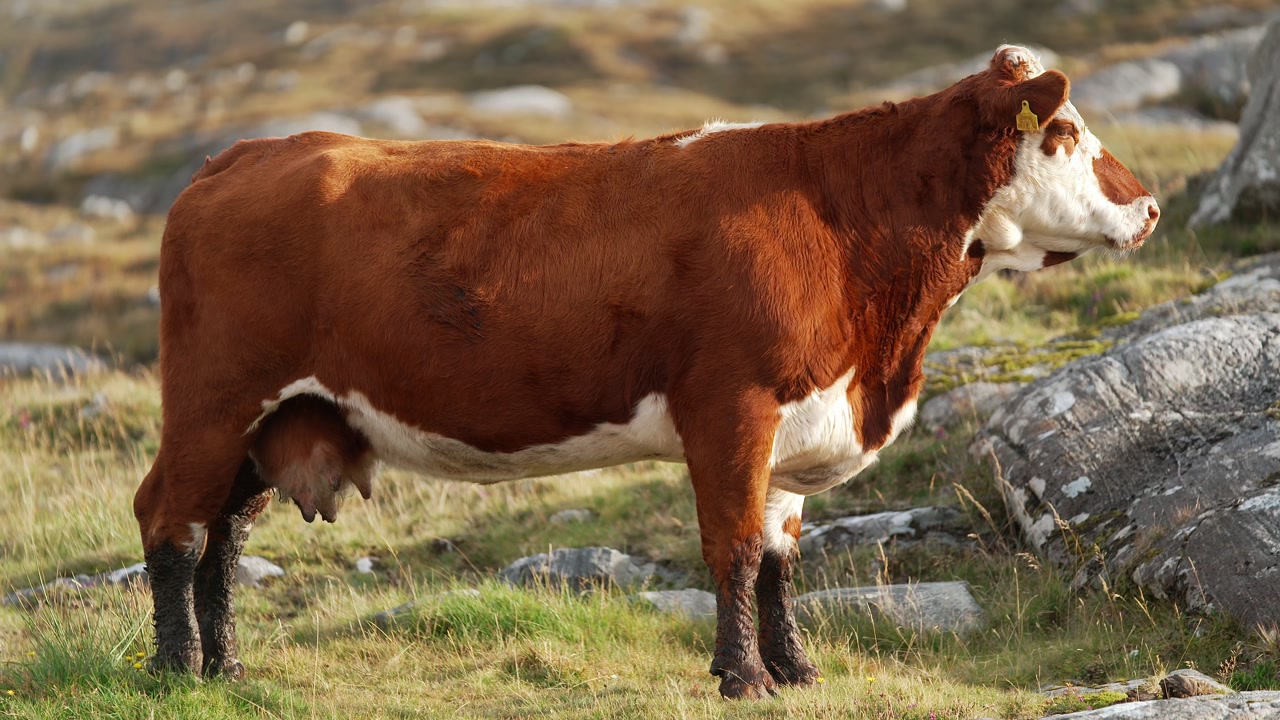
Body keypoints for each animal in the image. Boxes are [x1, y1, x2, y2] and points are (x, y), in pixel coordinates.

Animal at [133, 45, 1158, 699]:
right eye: (1064, 130)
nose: (1147, 206)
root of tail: (242, 154)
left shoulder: (798, 424)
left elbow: (781, 556)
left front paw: (796, 670)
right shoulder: (731, 408)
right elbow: (734, 549)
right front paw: (742, 678)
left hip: (272, 421)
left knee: (223, 535)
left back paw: (225, 668)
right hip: (214, 398)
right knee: (171, 521)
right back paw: (174, 671)